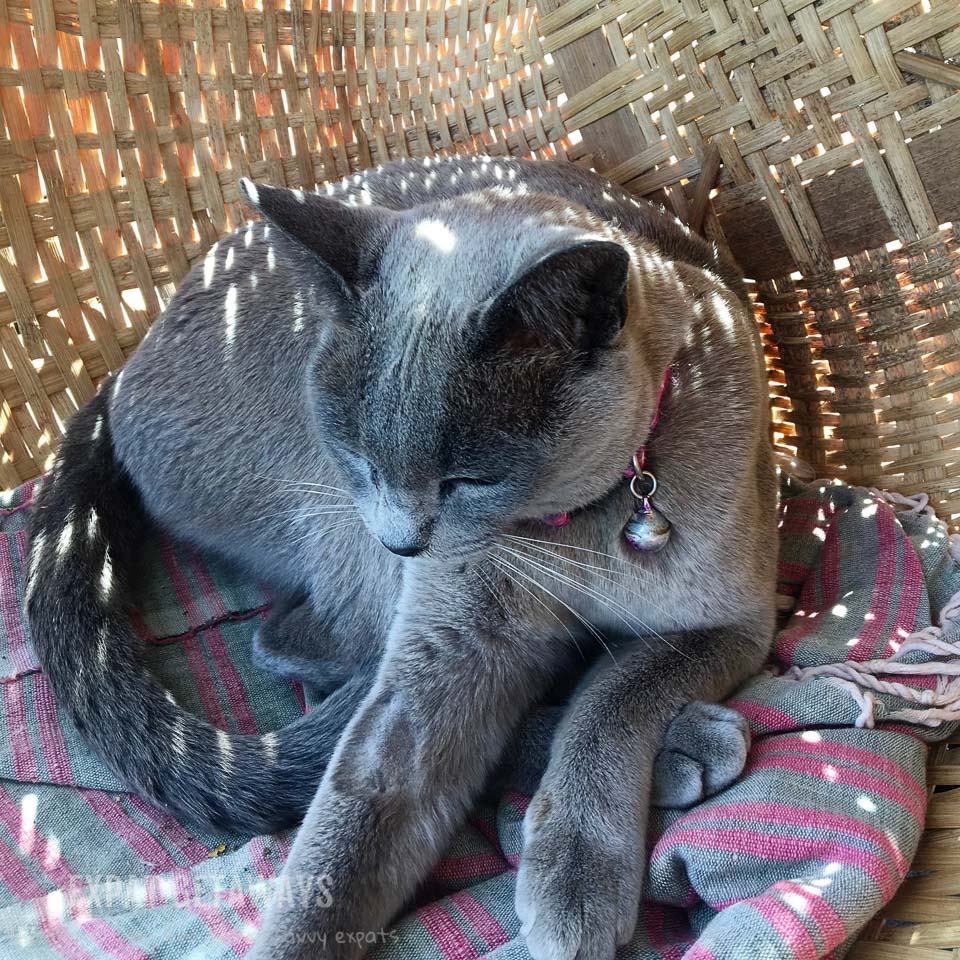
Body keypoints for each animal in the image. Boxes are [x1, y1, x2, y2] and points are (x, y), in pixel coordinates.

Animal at [26, 158, 776, 960]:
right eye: (363, 458)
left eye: (467, 480)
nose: (406, 541)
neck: (573, 525)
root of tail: (121, 372)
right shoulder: (448, 643)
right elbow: (352, 822)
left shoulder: (733, 624)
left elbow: (614, 695)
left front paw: (573, 876)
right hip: (334, 514)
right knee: (300, 649)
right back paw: (685, 750)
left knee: (296, 639)